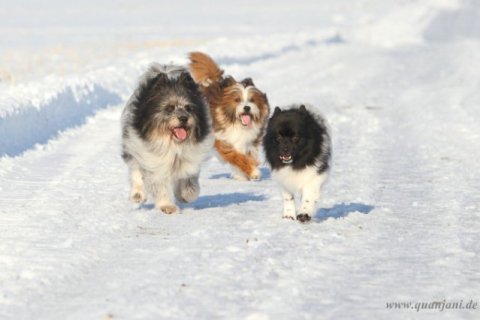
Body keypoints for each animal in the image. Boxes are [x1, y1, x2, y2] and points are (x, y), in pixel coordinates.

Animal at [121, 63, 213, 214]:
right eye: (169, 108)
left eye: (188, 107)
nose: (184, 118)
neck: (173, 144)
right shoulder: (153, 160)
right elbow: (159, 185)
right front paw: (167, 206)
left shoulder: (188, 158)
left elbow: (188, 179)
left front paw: (186, 194)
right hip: (133, 145)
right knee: (135, 169)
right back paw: (138, 194)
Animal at [188, 52, 270, 180]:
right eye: (237, 100)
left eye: (252, 100)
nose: (247, 107)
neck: (236, 123)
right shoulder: (221, 140)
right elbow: (237, 157)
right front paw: (253, 172)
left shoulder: (249, 142)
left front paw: (242, 175)